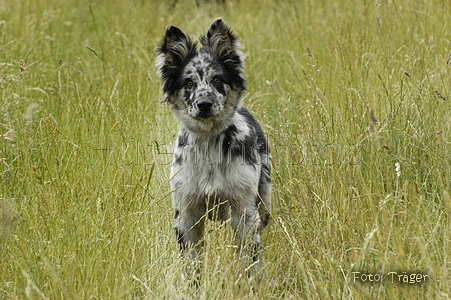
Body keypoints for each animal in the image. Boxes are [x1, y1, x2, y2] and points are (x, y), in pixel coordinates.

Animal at [156, 18, 272, 282]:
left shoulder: (244, 211)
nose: (204, 104)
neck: (209, 146)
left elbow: (248, 261)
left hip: (264, 203)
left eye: (217, 79)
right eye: (189, 83)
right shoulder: (186, 214)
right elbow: (192, 266)